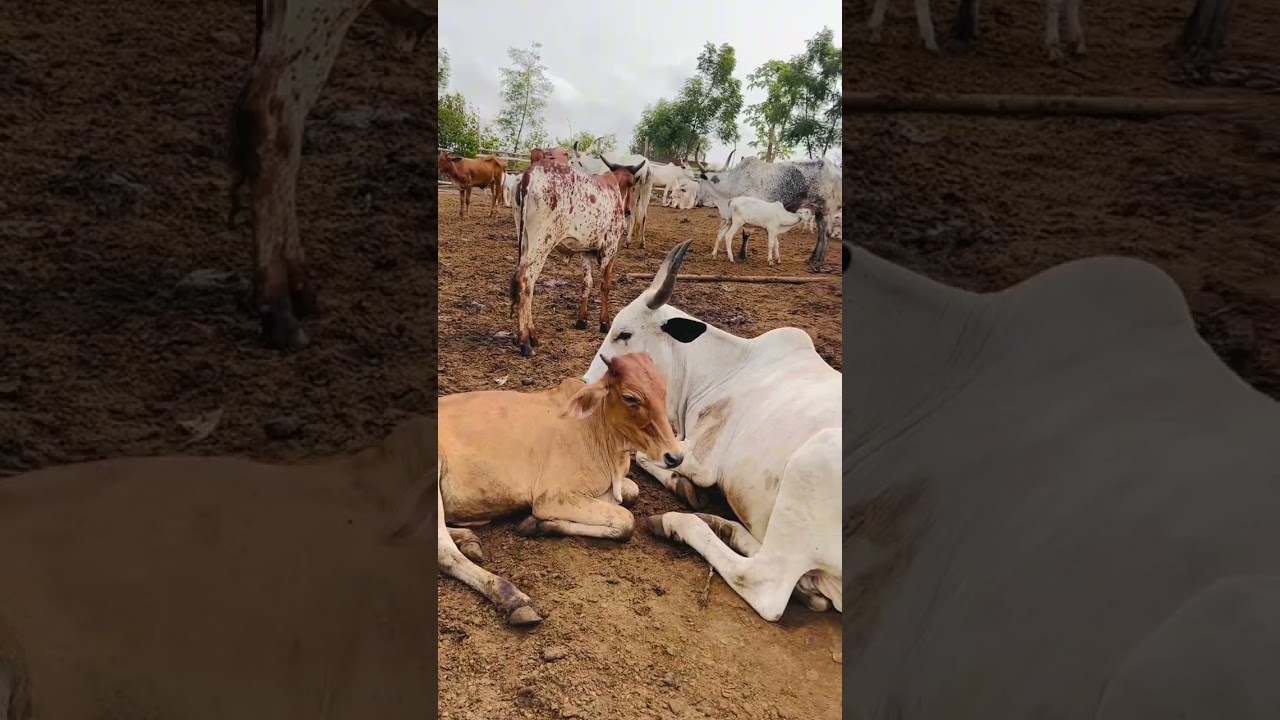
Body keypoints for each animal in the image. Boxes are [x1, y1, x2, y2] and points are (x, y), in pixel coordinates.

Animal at [412, 352, 684, 626]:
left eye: (664, 392)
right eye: (630, 398)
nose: (675, 456)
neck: (595, 430)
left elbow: (631, 492)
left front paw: (537, 524)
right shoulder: (551, 498)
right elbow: (626, 520)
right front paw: (540, 523)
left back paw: (469, 540)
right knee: (443, 551)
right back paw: (512, 598)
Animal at [510, 157, 645, 358]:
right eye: (632, 183)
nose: (628, 210)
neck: (615, 188)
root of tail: (530, 172)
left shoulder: (586, 251)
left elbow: (587, 283)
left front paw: (582, 320)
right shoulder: (611, 247)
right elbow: (605, 285)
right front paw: (604, 323)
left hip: (525, 241)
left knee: (528, 285)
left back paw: (532, 336)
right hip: (542, 242)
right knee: (525, 280)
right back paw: (525, 342)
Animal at [581, 241, 842, 622]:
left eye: (624, 334)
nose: (587, 383)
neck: (722, 369)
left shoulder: (701, 460)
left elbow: (643, 454)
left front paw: (680, 486)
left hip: (815, 459)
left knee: (762, 581)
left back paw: (678, 522)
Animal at [693, 150, 841, 271]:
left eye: (699, 181)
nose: (697, 203)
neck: (735, 182)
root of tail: (835, 168)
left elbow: (746, 234)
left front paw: (741, 256)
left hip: (827, 210)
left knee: (826, 233)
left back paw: (818, 261)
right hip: (818, 211)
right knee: (821, 233)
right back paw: (812, 258)